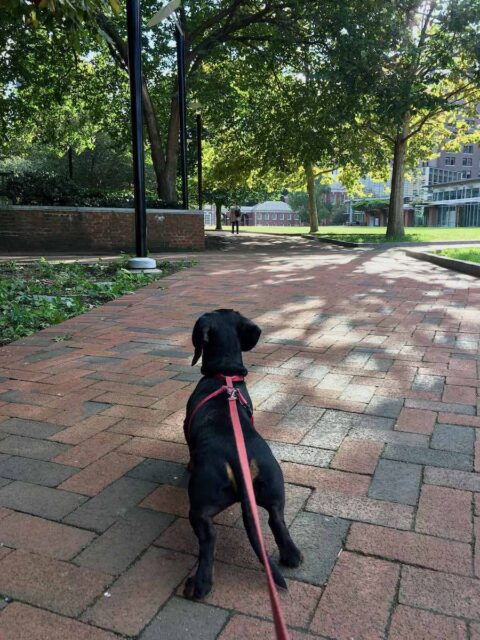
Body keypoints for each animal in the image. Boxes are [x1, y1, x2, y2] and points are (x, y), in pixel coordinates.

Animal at [183, 310, 300, 600]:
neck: (224, 375)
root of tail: (237, 459)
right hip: (274, 486)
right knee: (277, 519)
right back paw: (291, 555)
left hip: (200, 505)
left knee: (209, 540)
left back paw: (199, 585)